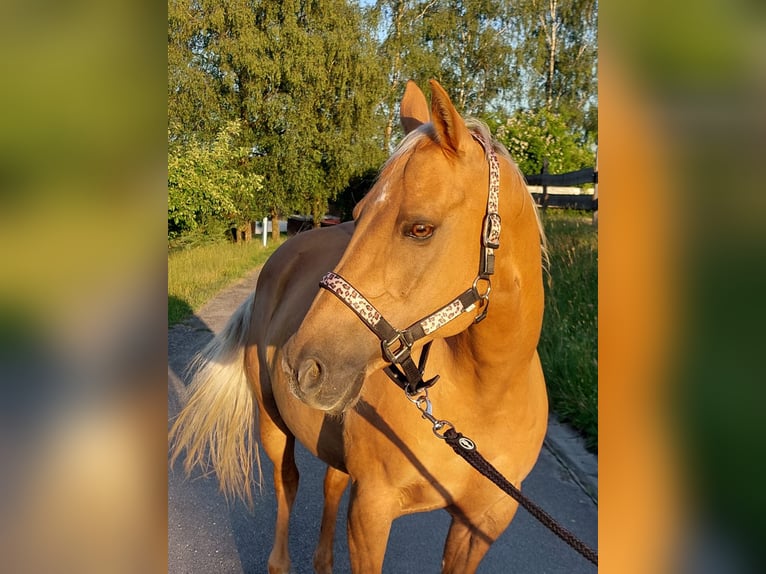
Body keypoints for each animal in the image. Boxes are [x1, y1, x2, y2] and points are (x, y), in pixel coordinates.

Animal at [170, 79, 548, 573]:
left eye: (420, 228)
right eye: (361, 212)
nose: (301, 366)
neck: (487, 397)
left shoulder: (480, 524)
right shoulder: (372, 511)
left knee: (330, 483)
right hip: (272, 427)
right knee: (287, 483)